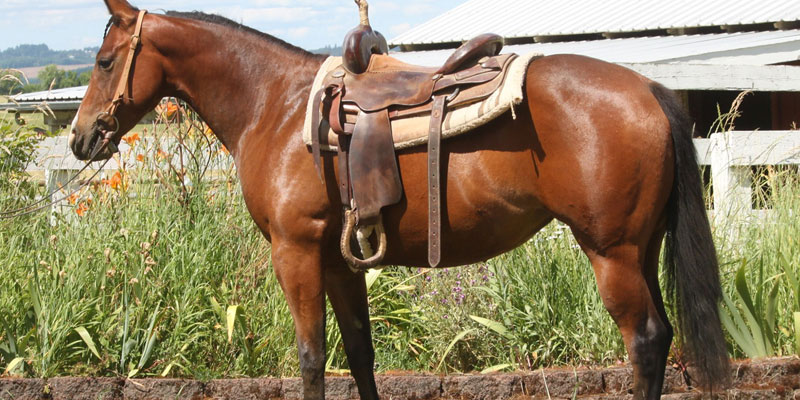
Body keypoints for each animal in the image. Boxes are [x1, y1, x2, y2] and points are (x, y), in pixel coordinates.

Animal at [70, 1, 730, 398]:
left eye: (103, 61)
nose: (81, 138)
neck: (276, 105)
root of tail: (648, 88)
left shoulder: (296, 252)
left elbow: (311, 356)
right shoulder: (340, 261)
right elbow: (360, 352)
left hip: (611, 251)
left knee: (645, 339)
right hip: (641, 248)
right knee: (663, 335)